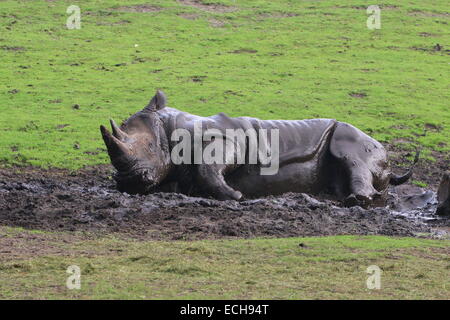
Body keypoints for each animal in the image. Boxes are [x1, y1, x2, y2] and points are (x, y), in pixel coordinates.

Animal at [99, 90, 418, 208]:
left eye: (150, 148)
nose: (127, 184)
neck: (170, 131)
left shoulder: (229, 140)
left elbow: (208, 167)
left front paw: (235, 196)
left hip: (354, 137)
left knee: (352, 157)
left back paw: (355, 201)